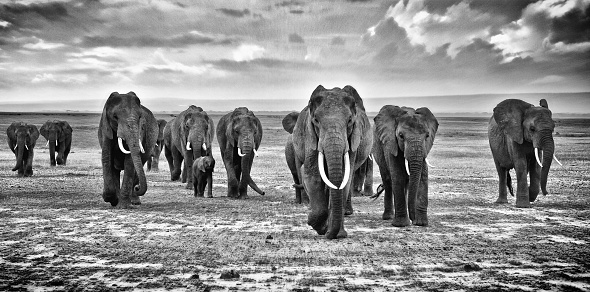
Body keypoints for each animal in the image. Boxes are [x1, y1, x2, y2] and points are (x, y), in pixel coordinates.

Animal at [292, 85, 372, 240]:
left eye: (349, 121)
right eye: (316, 120)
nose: (328, 234)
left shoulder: (352, 140)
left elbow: (345, 179)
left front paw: (335, 233)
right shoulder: (311, 137)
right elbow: (313, 176)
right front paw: (318, 225)